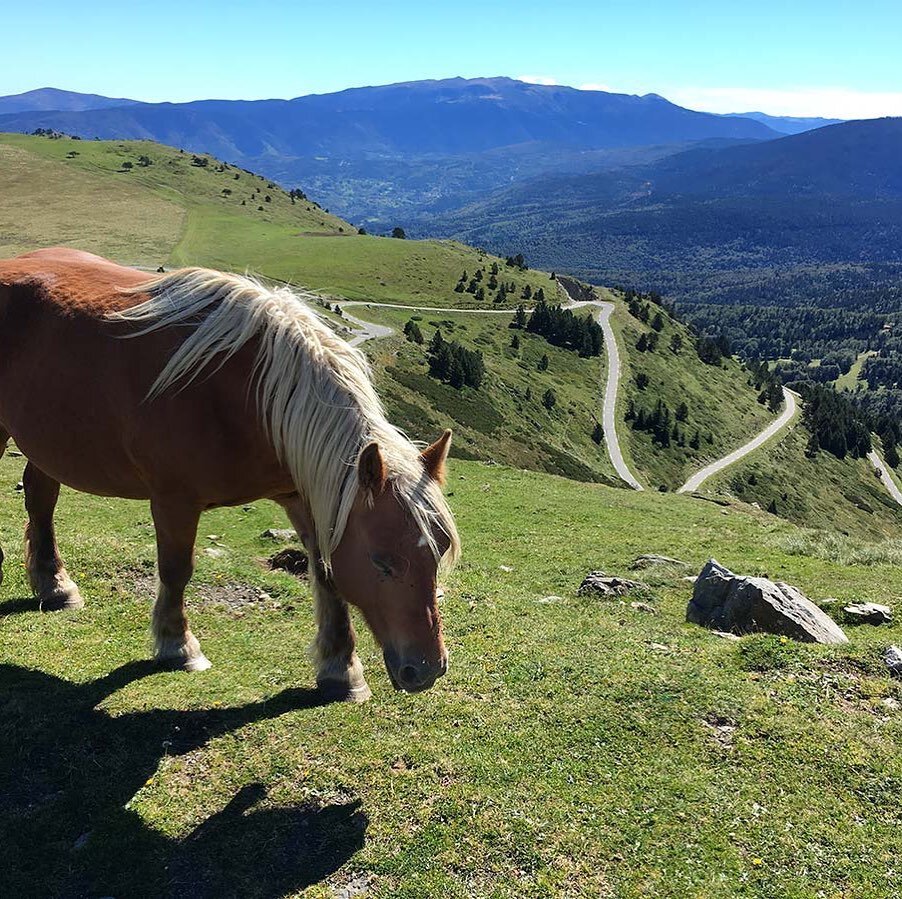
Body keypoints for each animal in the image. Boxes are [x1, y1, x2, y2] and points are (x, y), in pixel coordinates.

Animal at [0, 248, 462, 704]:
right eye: (382, 562)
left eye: (439, 552)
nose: (426, 671)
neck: (252, 396)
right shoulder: (174, 501)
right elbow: (176, 570)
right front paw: (177, 645)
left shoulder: (307, 498)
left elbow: (327, 577)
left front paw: (341, 669)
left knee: (40, 499)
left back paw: (54, 586)